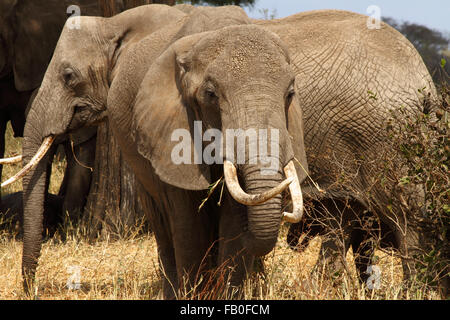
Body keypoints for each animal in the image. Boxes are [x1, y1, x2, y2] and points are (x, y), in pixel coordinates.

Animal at [13, 5, 310, 298]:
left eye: (290, 94)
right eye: (211, 94)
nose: (30, 289)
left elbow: (234, 215)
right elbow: (187, 220)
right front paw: (193, 294)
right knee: (162, 222)